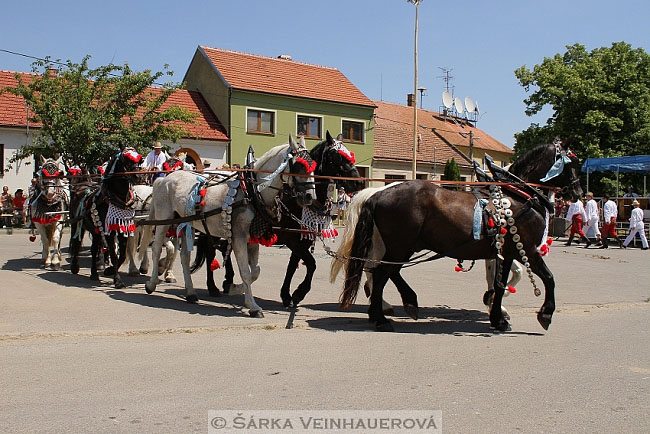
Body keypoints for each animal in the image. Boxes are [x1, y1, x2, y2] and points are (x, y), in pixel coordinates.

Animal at [139, 136, 316, 316]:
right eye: (299, 165)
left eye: (313, 166)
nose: (310, 196)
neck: (252, 192)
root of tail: (163, 179)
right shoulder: (239, 237)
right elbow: (246, 272)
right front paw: (253, 306)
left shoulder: (252, 239)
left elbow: (255, 271)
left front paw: (234, 288)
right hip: (164, 220)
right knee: (156, 249)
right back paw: (151, 283)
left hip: (186, 223)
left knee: (184, 257)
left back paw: (190, 293)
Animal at [332, 141, 580, 330]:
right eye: (572, 164)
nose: (577, 191)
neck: (517, 197)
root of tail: (378, 194)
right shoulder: (527, 249)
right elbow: (549, 278)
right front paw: (545, 314)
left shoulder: (507, 252)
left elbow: (500, 284)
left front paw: (497, 315)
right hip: (401, 246)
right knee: (382, 273)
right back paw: (383, 316)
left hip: (401, 247)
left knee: (383, 271)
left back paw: (397, 306)